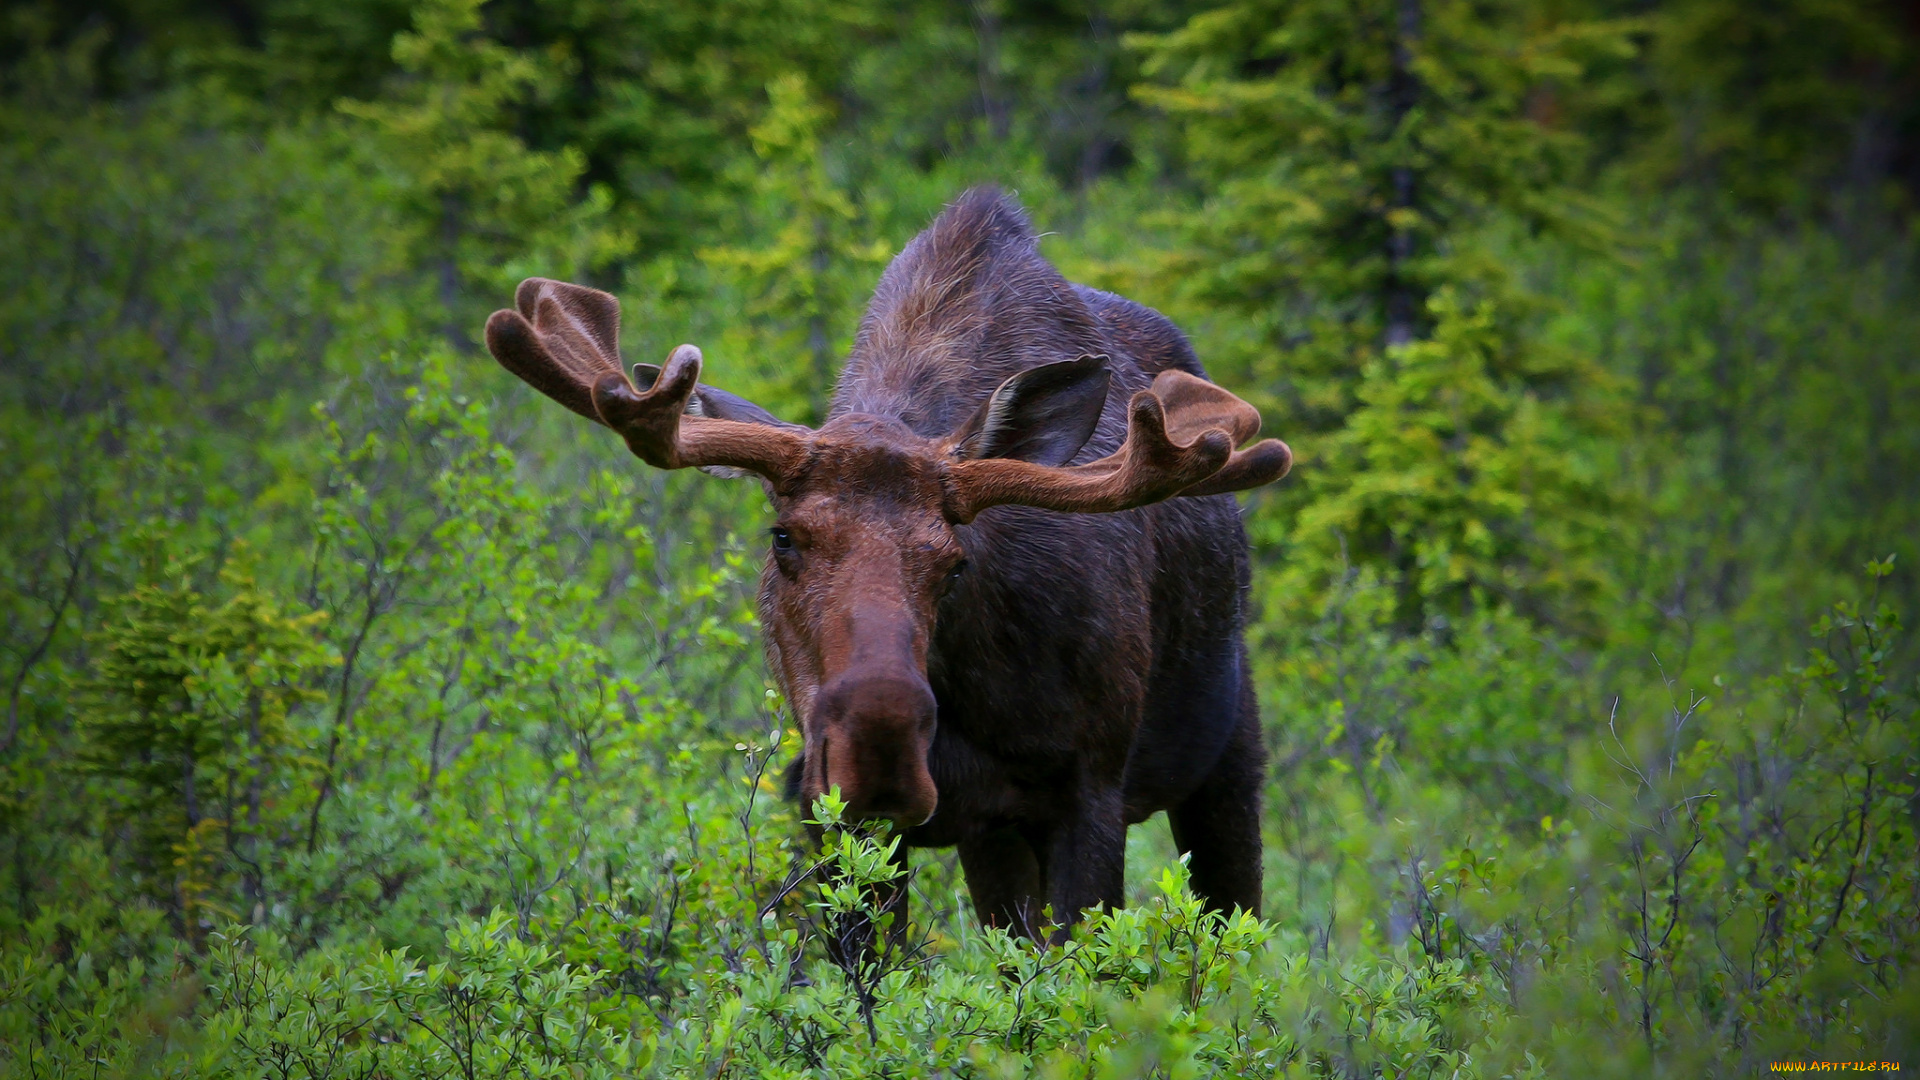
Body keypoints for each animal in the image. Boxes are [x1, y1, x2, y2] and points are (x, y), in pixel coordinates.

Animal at [483, 189, 1290, 930]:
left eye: (955, 562)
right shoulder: (835, 818)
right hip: (993, 840)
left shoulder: (1090, 790)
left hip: (1227, 764)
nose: (879, 754)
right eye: (783, 538)